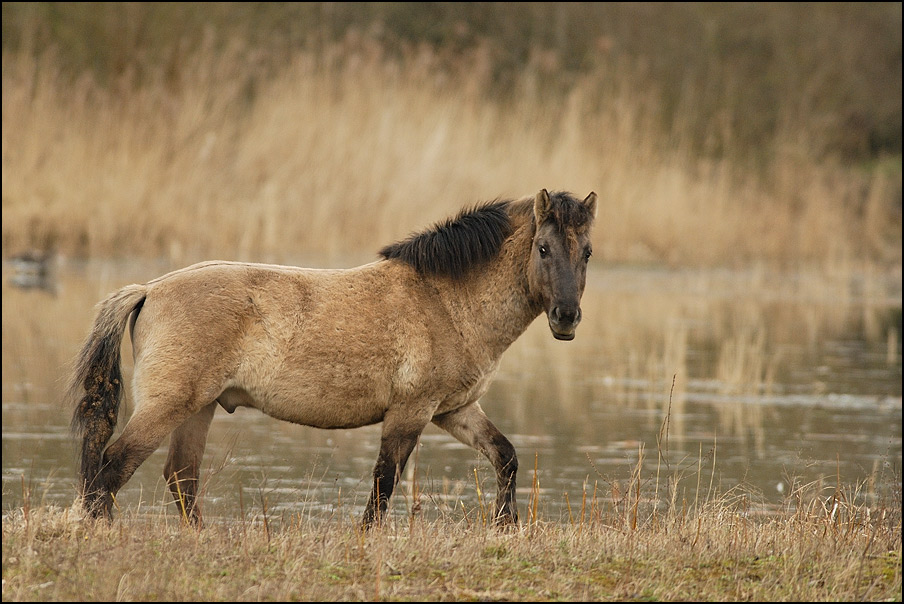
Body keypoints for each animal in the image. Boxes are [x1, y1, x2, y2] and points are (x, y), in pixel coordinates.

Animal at [69, 189, 592, 528]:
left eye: (586, 252)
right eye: (543, 248)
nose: (566, 318)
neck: (445, 300)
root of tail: (149, 289)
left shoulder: (455, 410)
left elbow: (505, 457)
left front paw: (506, 527)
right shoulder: (411, 412)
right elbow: (383, 484)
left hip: (199, 408)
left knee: (180, 478)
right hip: (169, 405)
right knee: (113, 467)